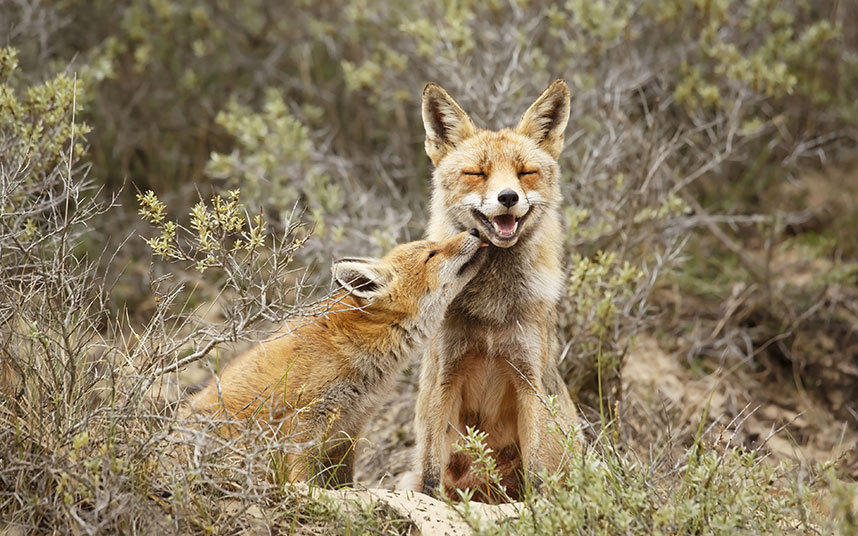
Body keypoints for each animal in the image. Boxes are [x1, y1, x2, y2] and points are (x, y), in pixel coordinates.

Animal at [184, 228, 484, 488]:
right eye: (432, 254)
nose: (475, 231)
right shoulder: (305, 421)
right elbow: (302, 479)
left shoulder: (350, 430)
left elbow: (344, 482)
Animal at [412, 79, 580, 502]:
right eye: (477, 173)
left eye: (525, 173)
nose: (508, 197)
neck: (491, 307)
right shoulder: (446, 375)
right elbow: (430, 473)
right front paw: (429, 504)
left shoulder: (528, 379)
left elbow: (538, 471)